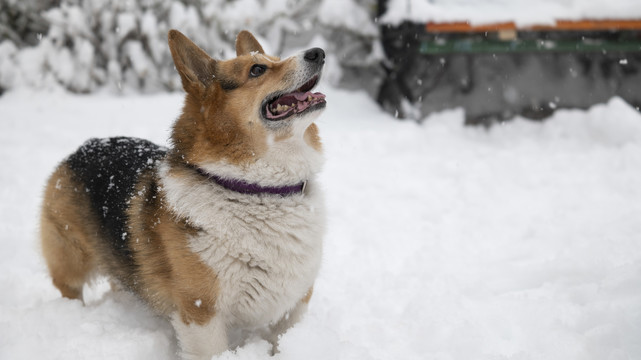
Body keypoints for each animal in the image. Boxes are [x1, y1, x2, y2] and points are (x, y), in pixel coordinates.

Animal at [41, 31, 324, 360]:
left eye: (276, 59)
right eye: (257, 70)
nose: (319, 52)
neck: (259, 190)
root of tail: (85, 147)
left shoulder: (296, 304)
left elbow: (283, 338)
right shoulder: (202, 313)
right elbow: (212, 351)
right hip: (70, 260)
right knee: (70, 289)